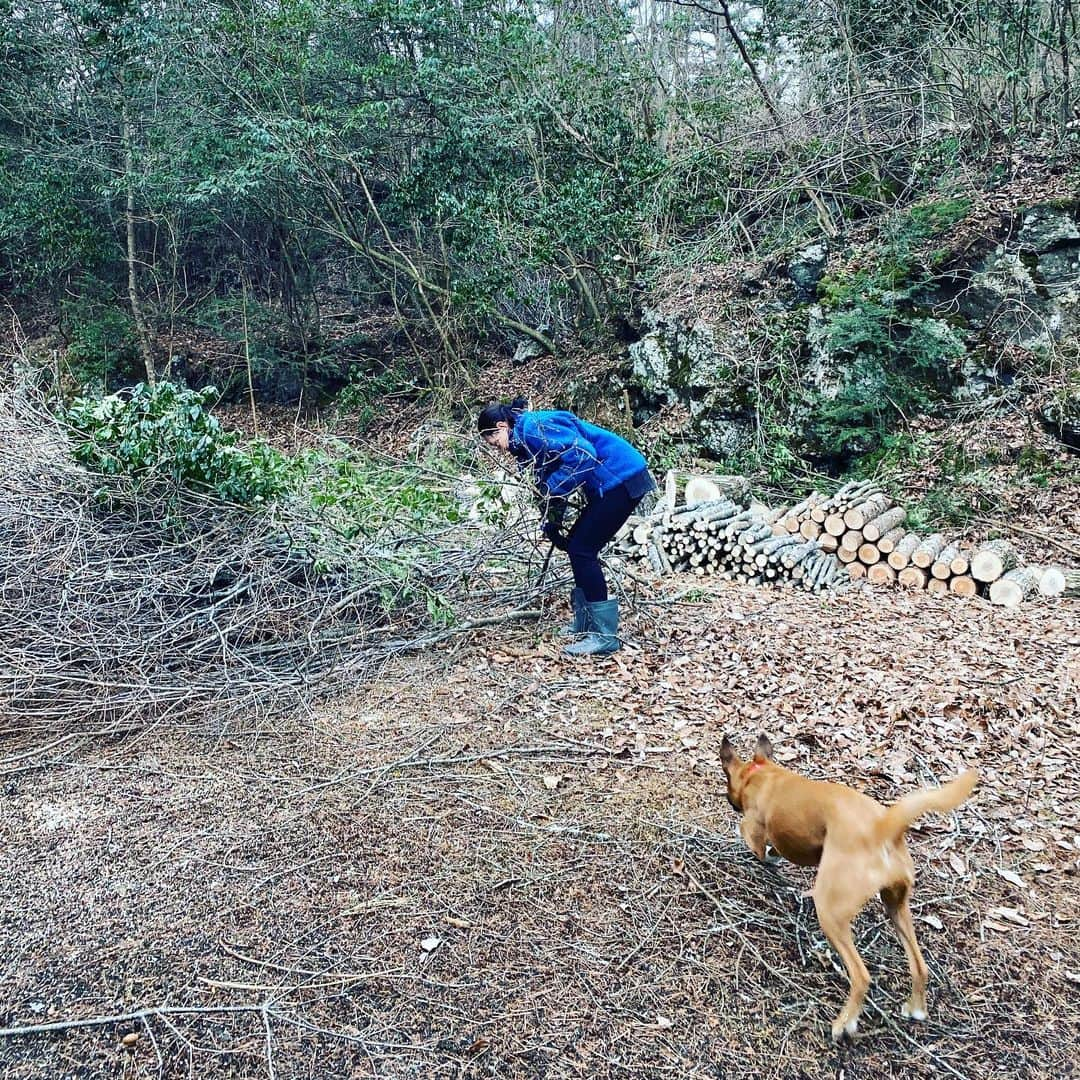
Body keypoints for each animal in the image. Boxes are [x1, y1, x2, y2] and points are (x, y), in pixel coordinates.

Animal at [721, 734, 976, 1036]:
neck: (760, 773)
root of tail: (884, 827)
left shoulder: (753, 829)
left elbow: (757, 845)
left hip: (830, 913)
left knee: (861, 976)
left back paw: (844, 1023)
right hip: (896, 906)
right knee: (919, 965)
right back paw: (915, 1008)